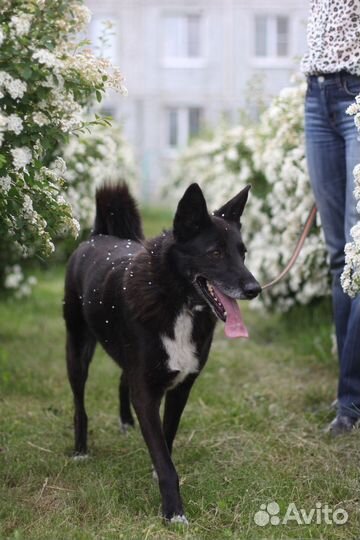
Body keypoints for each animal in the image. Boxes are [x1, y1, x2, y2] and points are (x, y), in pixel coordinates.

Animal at [64, 182, 260, 524]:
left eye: (243, 252)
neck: (178, 301)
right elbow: (163, 456)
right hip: (77, 349)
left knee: (122, 380)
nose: (255, 289)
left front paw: (158, 472)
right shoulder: (146, 393)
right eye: (216, 253)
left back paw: (126, 423)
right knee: (80, 403)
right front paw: (174, 512)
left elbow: (166, 439)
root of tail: (98, 235)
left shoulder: (181, 387)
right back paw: (80, 451)